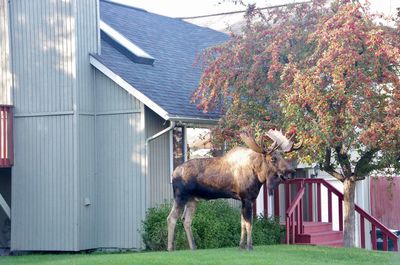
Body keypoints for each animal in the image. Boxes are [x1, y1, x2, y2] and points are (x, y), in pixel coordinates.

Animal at [167, 129, 302, 251]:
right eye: (273, 158)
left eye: (282, 156)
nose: (291, 171)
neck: (258, 175)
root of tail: (173, 173)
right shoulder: (247, 198)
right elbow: (249, 223)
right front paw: (249, 246)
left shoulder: (245, 200)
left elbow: (242, 223)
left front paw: (241, 245)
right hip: (180, 196)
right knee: (171, 218)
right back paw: (170, 248)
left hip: (193, 199)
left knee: (186, 220)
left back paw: (193, 247)